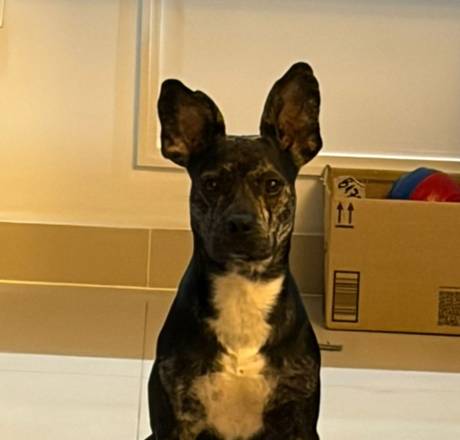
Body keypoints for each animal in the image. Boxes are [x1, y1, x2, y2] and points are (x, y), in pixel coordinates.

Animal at [146, 62, 322, 440]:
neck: (243, 288)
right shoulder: (175, 418)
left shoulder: (299, 418)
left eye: (272, 184)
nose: (239, 223)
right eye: (212, 183)